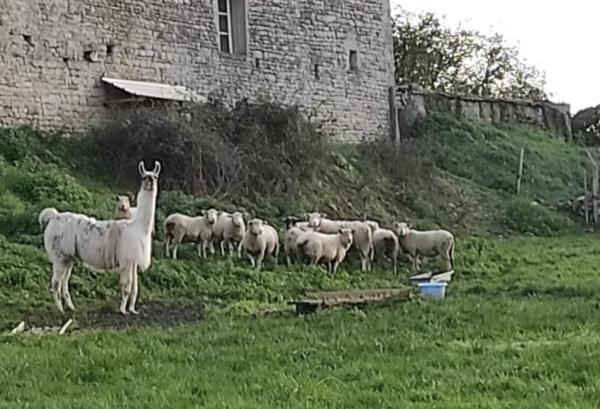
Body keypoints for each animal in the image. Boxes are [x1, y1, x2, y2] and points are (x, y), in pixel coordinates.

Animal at [39, 161, 162, 314]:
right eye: (145, 176)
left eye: (155, 176)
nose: (150, 181)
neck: (137, 227)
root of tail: (53, 216)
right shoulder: (126, 260)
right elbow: (127, 287)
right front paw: (122, 310)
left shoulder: (133, 260)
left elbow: (135, 288)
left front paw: (132, 310)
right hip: (59, 255)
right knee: (56, 283)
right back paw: (61, 310)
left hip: (68, 257)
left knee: (63, 282)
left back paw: (71, 307)